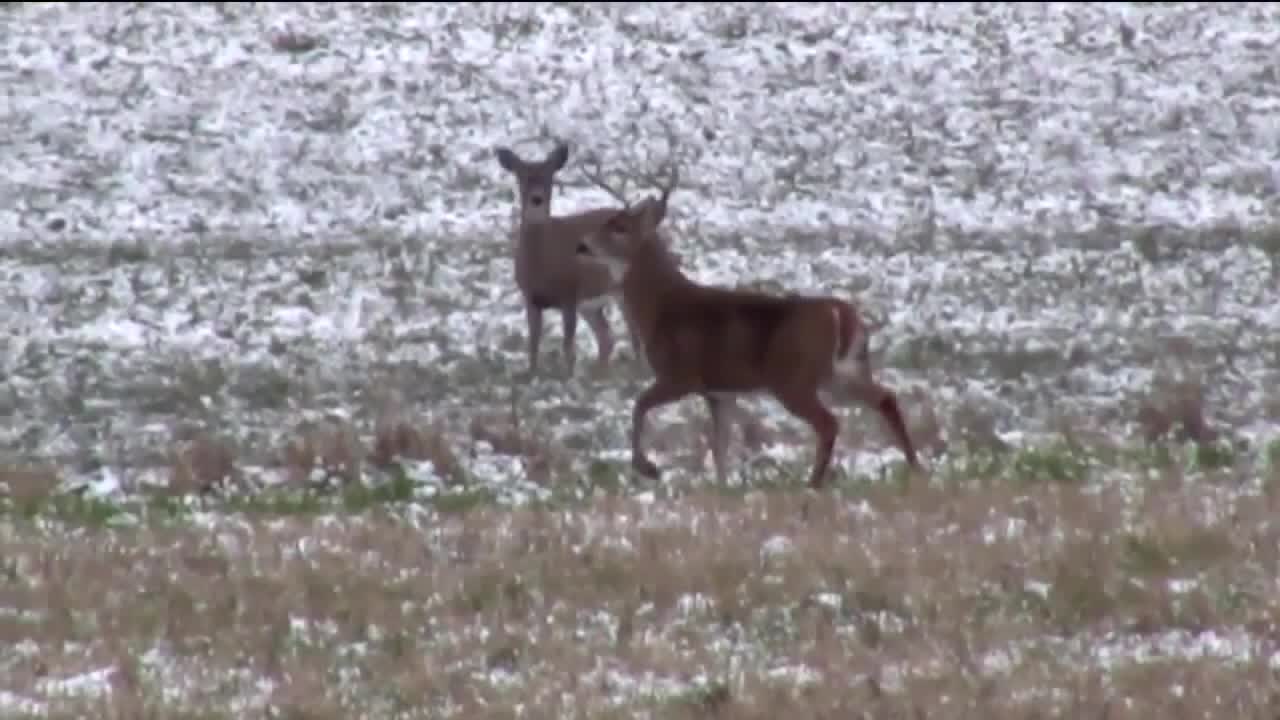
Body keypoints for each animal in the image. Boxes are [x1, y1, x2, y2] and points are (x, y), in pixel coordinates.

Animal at [575, 195, 922, 489]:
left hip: (794, 378)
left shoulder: (681, 375)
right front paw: (722, 489)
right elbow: (720, 445)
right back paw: (915, 467)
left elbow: (639, 404)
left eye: (619, 226)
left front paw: (648, 468)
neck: (660, 306)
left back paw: (812, 484)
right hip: (843, 371)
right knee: (885, 398)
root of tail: (840, 313)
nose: (582, 245)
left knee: (829, 422)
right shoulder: (719, 392)